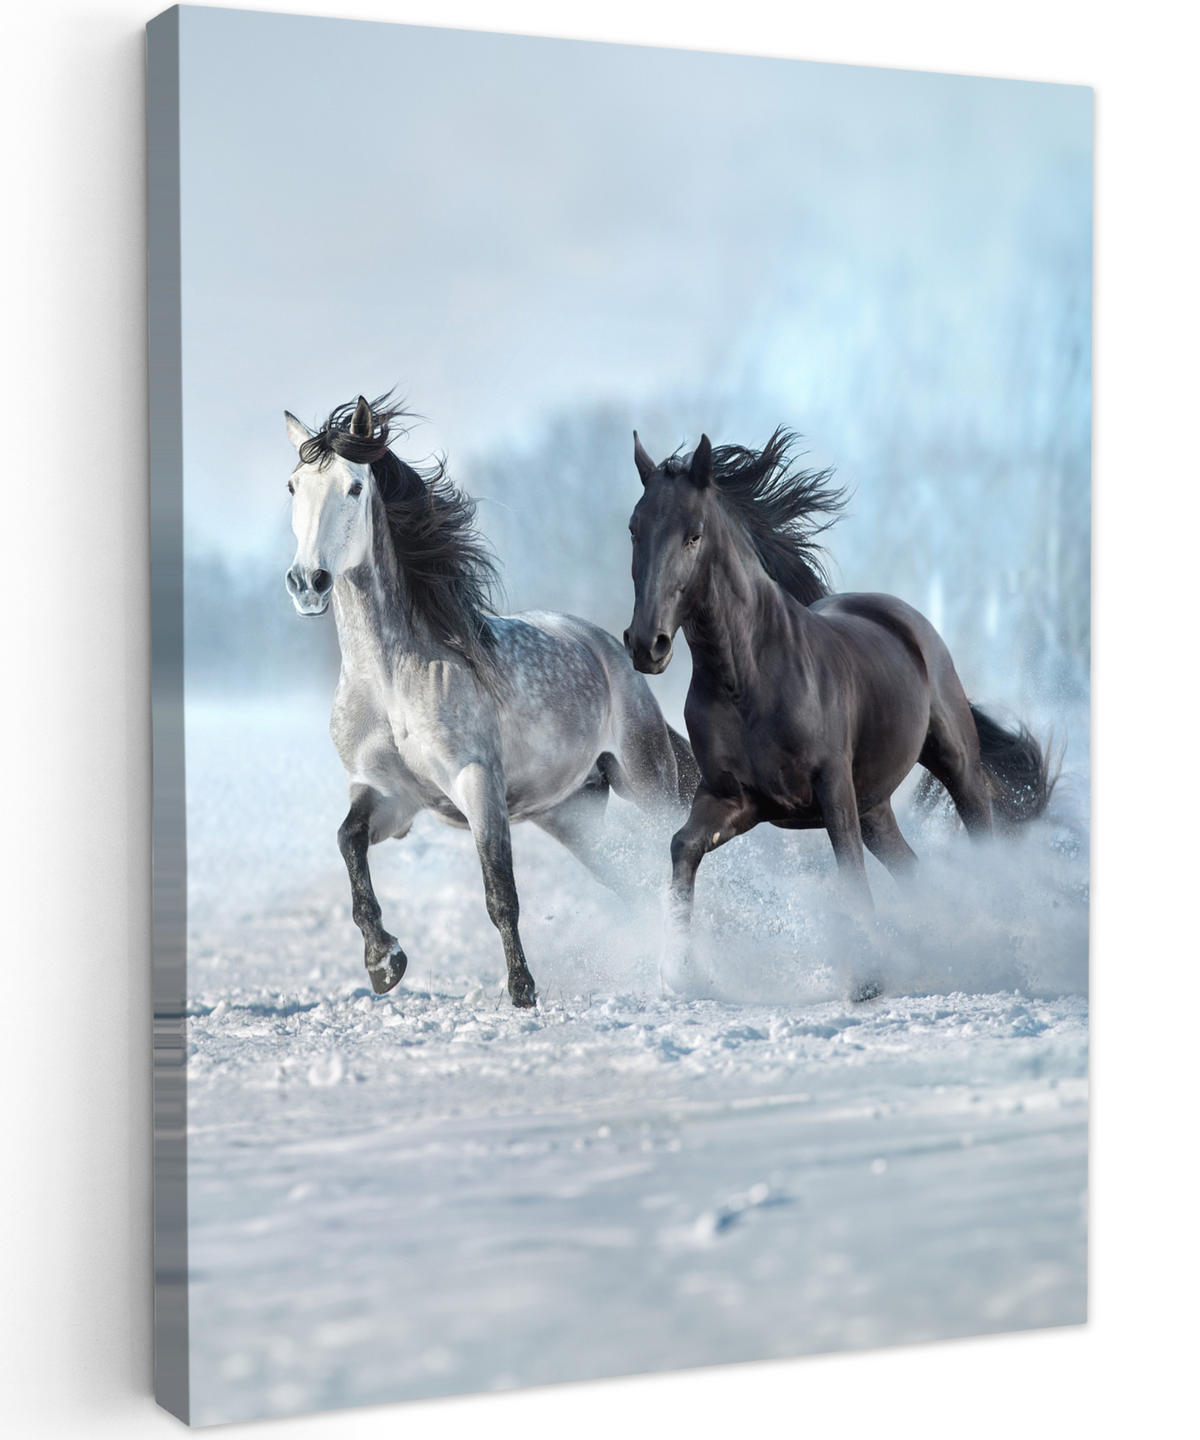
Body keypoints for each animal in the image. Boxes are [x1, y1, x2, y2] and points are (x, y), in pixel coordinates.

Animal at [283, 393, 696, 1007]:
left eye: (354, 487)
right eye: (293, 486)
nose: (307, 582)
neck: (389, 680)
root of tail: (610, 648)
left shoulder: (476, 783)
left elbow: (500, 892)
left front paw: (523, 992)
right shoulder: (388, 794)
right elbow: (348, 842)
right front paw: (384, 961)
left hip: (646, 781)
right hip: (570, 814)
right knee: (632, 880)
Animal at [623, 428, 1053, 999]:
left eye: (694, 536)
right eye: (634, 530)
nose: (646, 644)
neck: (749, 680)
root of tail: (905, 619)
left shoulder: (831, 787)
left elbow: (848, 870)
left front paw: (867, 979)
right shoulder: (734, 798)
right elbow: (682, 847)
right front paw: (680, 972)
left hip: (953, 763)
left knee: (980, 834)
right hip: (875, 806)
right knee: (911, 869)